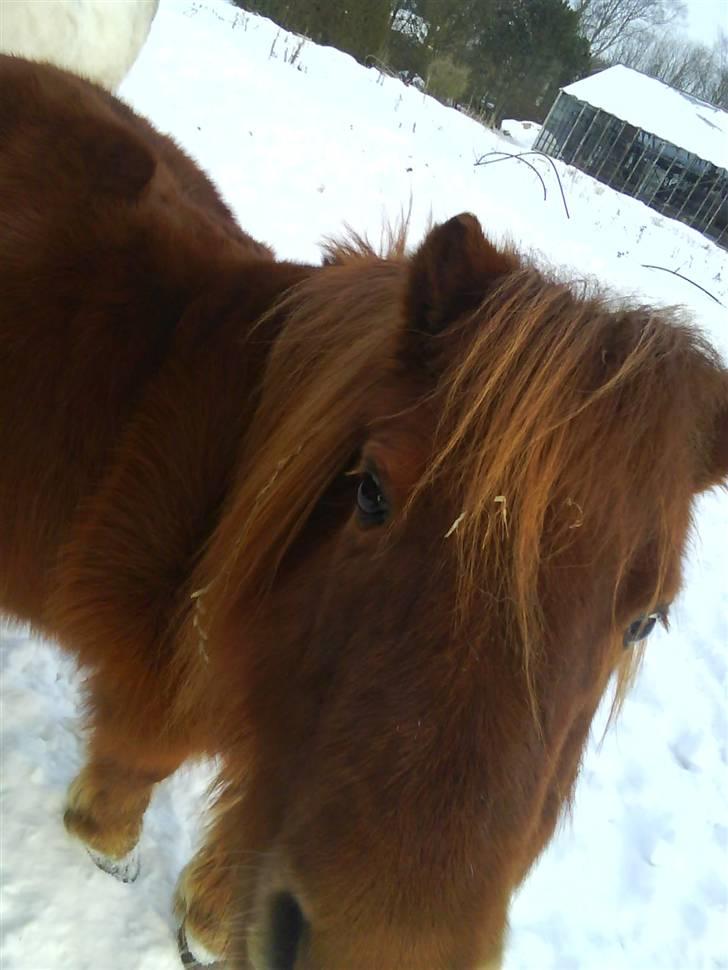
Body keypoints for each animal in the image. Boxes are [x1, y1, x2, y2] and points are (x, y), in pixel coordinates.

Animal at [1, 51, 728, 968]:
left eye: (646, 619)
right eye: (372, 492)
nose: (377, 953)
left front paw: (206, 922)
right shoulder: (165, 681)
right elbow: (145, 756)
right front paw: (109, 845)